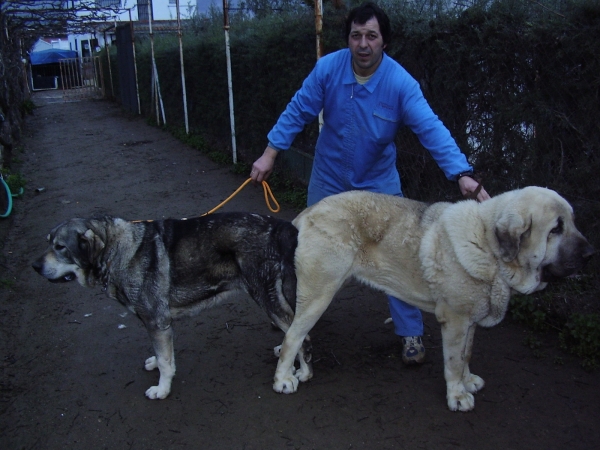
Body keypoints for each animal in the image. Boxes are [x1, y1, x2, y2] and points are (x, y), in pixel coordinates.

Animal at [274, 186, 592, 412]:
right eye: (556, 228)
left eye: (573, 221)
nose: (590, 254)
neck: (488, 245)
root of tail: (309, 212)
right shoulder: (455, 320)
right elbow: (453, 361)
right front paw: (457, 396)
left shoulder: (470, 320)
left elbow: (466, 354)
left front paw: (467, 381)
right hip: (319, 294)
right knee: (293, 336)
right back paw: (283, 379)